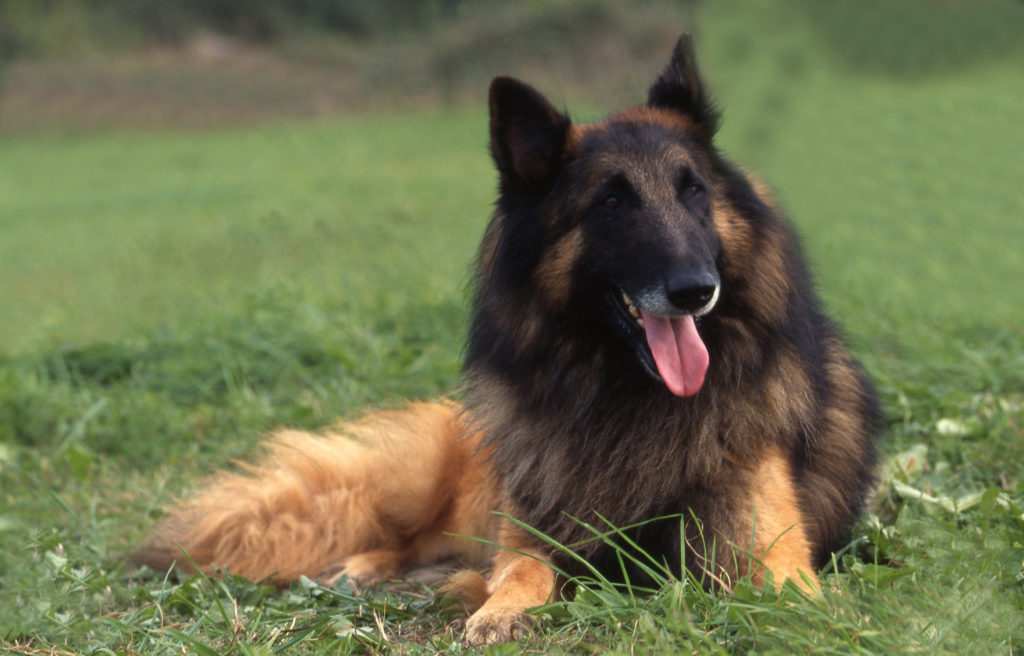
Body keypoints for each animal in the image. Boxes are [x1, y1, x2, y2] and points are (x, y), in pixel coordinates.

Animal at [138, 35, 880, 646]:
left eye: (693, 191)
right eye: (612, 203)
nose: (696, 289)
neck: (627, 398)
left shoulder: (765, 539)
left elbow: (791, 593)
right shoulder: (529, 520)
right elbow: (520, 571)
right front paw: (498, 609)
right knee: (415, 537)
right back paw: (364, 567)